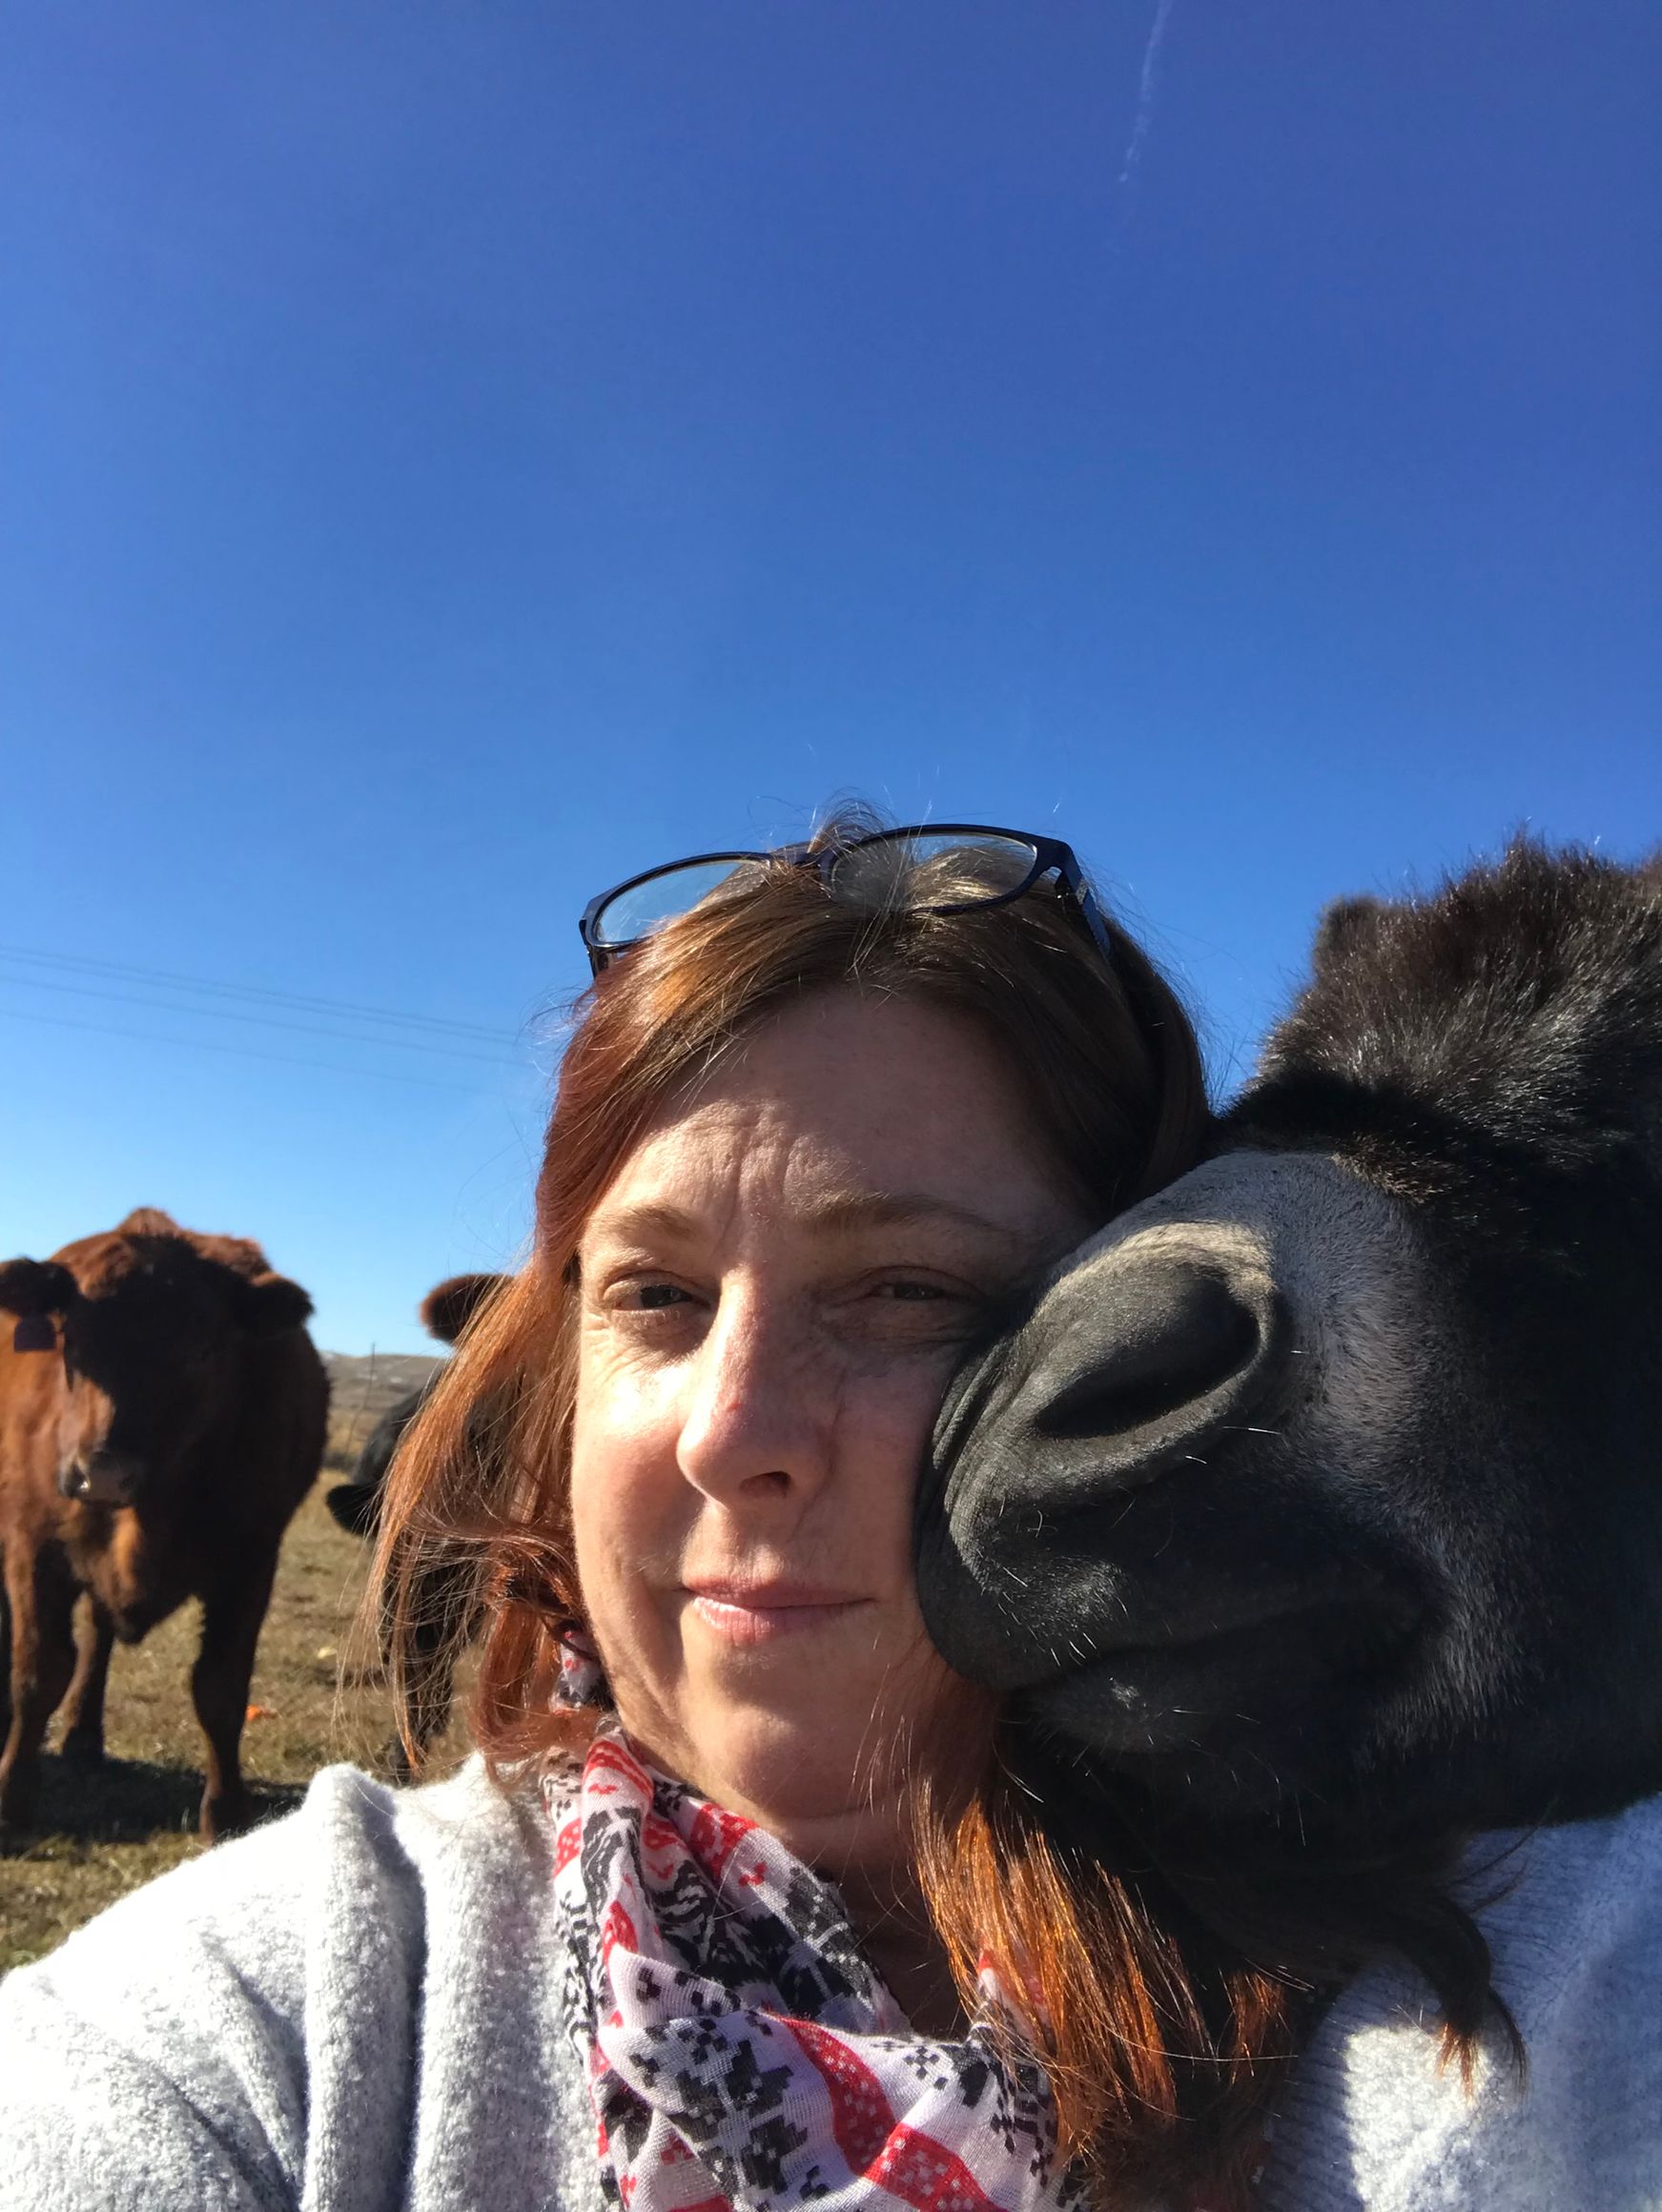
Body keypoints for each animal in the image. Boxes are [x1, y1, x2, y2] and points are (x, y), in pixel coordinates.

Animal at [0, 1208, 327, 1842]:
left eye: (201, 1351)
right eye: (70, 1340)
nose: (102, 1475)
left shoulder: (251, 1561)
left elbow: (220, 1688)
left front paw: (225, 1815)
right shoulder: (33, 1546)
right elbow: (36, 1673)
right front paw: (11, 1798)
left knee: (100, 1635)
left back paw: (84, 1738)